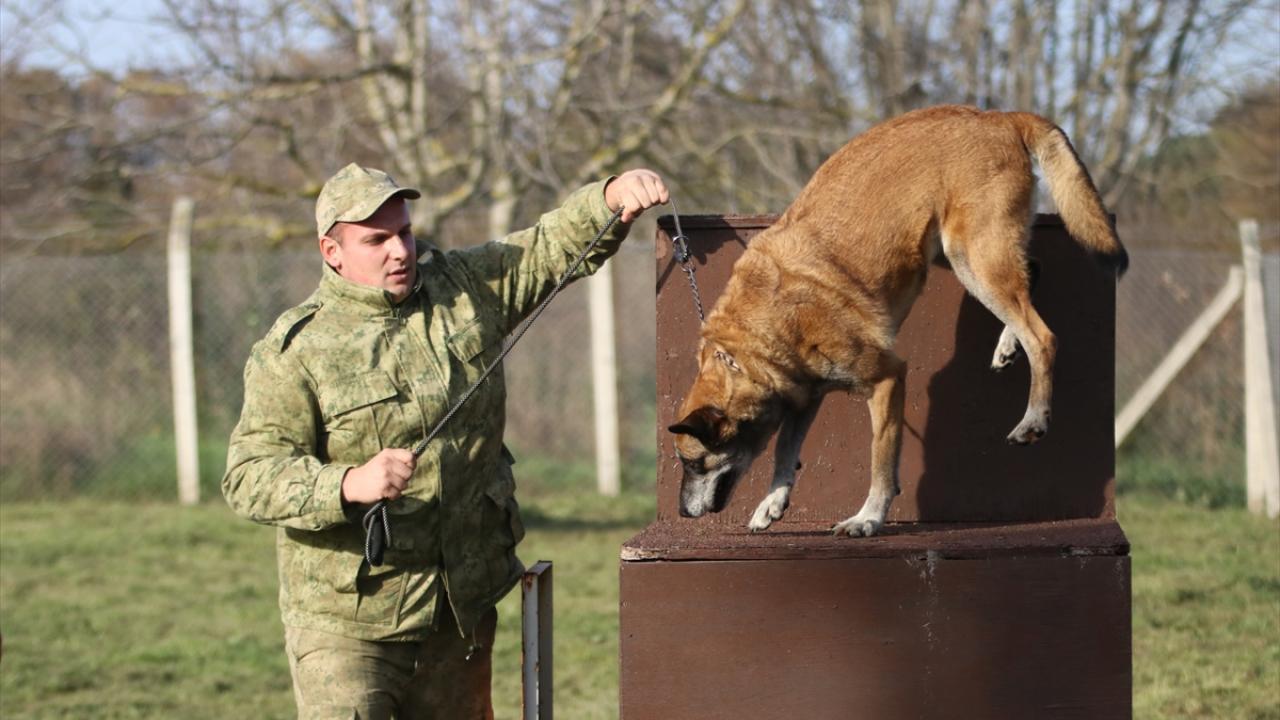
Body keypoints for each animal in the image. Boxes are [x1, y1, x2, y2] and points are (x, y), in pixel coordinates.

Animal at [668, 105, 1127, 537]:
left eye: (693, 463)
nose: (682, 513)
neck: (749, 347)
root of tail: (998, 117)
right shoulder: (806, 398)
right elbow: (784, 450)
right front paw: (772, 503)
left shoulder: (887, 378)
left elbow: (880, 460)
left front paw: (868, 518)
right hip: (954, 254)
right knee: (1032, 272)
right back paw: (1007, 345)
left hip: (972, 257)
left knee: (1043, 335)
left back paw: (1034, 418)